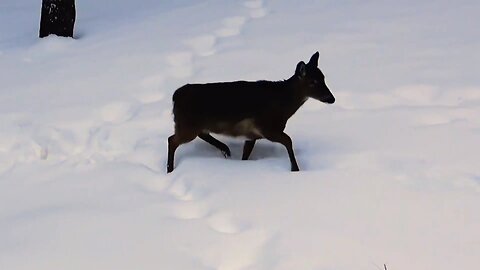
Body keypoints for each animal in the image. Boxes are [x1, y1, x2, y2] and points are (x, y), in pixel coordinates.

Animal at [167, 51, 336, 173]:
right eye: (313, 82)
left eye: (323, 78)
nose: (331, 98)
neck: (283, 105)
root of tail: (175, 96)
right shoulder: (267, 128)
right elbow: (288, 140)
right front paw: (295, 169)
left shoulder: (252, 135)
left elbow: (246, 155)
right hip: (187, 124)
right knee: (172, 140)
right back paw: (170, 169)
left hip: (192, 124)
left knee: (200, 134)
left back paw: (225, 150)